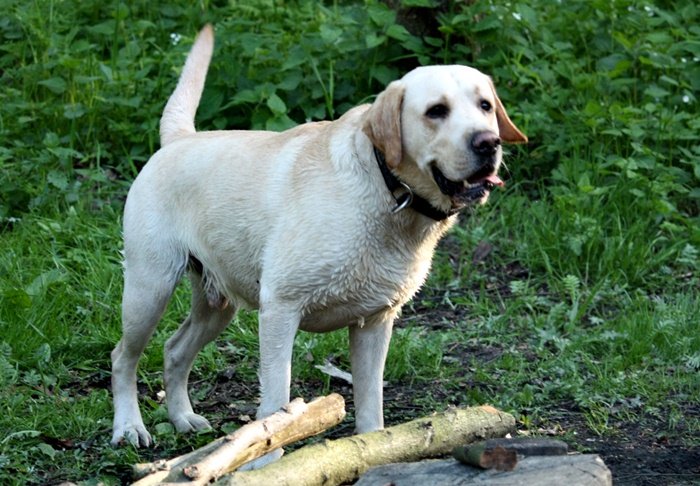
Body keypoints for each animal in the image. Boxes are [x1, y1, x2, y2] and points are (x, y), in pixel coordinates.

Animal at [110, 23, 524, 464]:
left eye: (485, 105)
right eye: (436, 111)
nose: (488, 143)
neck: (387, 190)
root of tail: (178, 138)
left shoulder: (376, 323)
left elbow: (370, 405)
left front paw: (373, 449)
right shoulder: (280, 308)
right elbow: (275, 407)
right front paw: (266, 463)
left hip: (216, 304)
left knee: (174, 350)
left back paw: (182, 417)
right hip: (149, 288)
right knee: (123, 358)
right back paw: (129, 427)